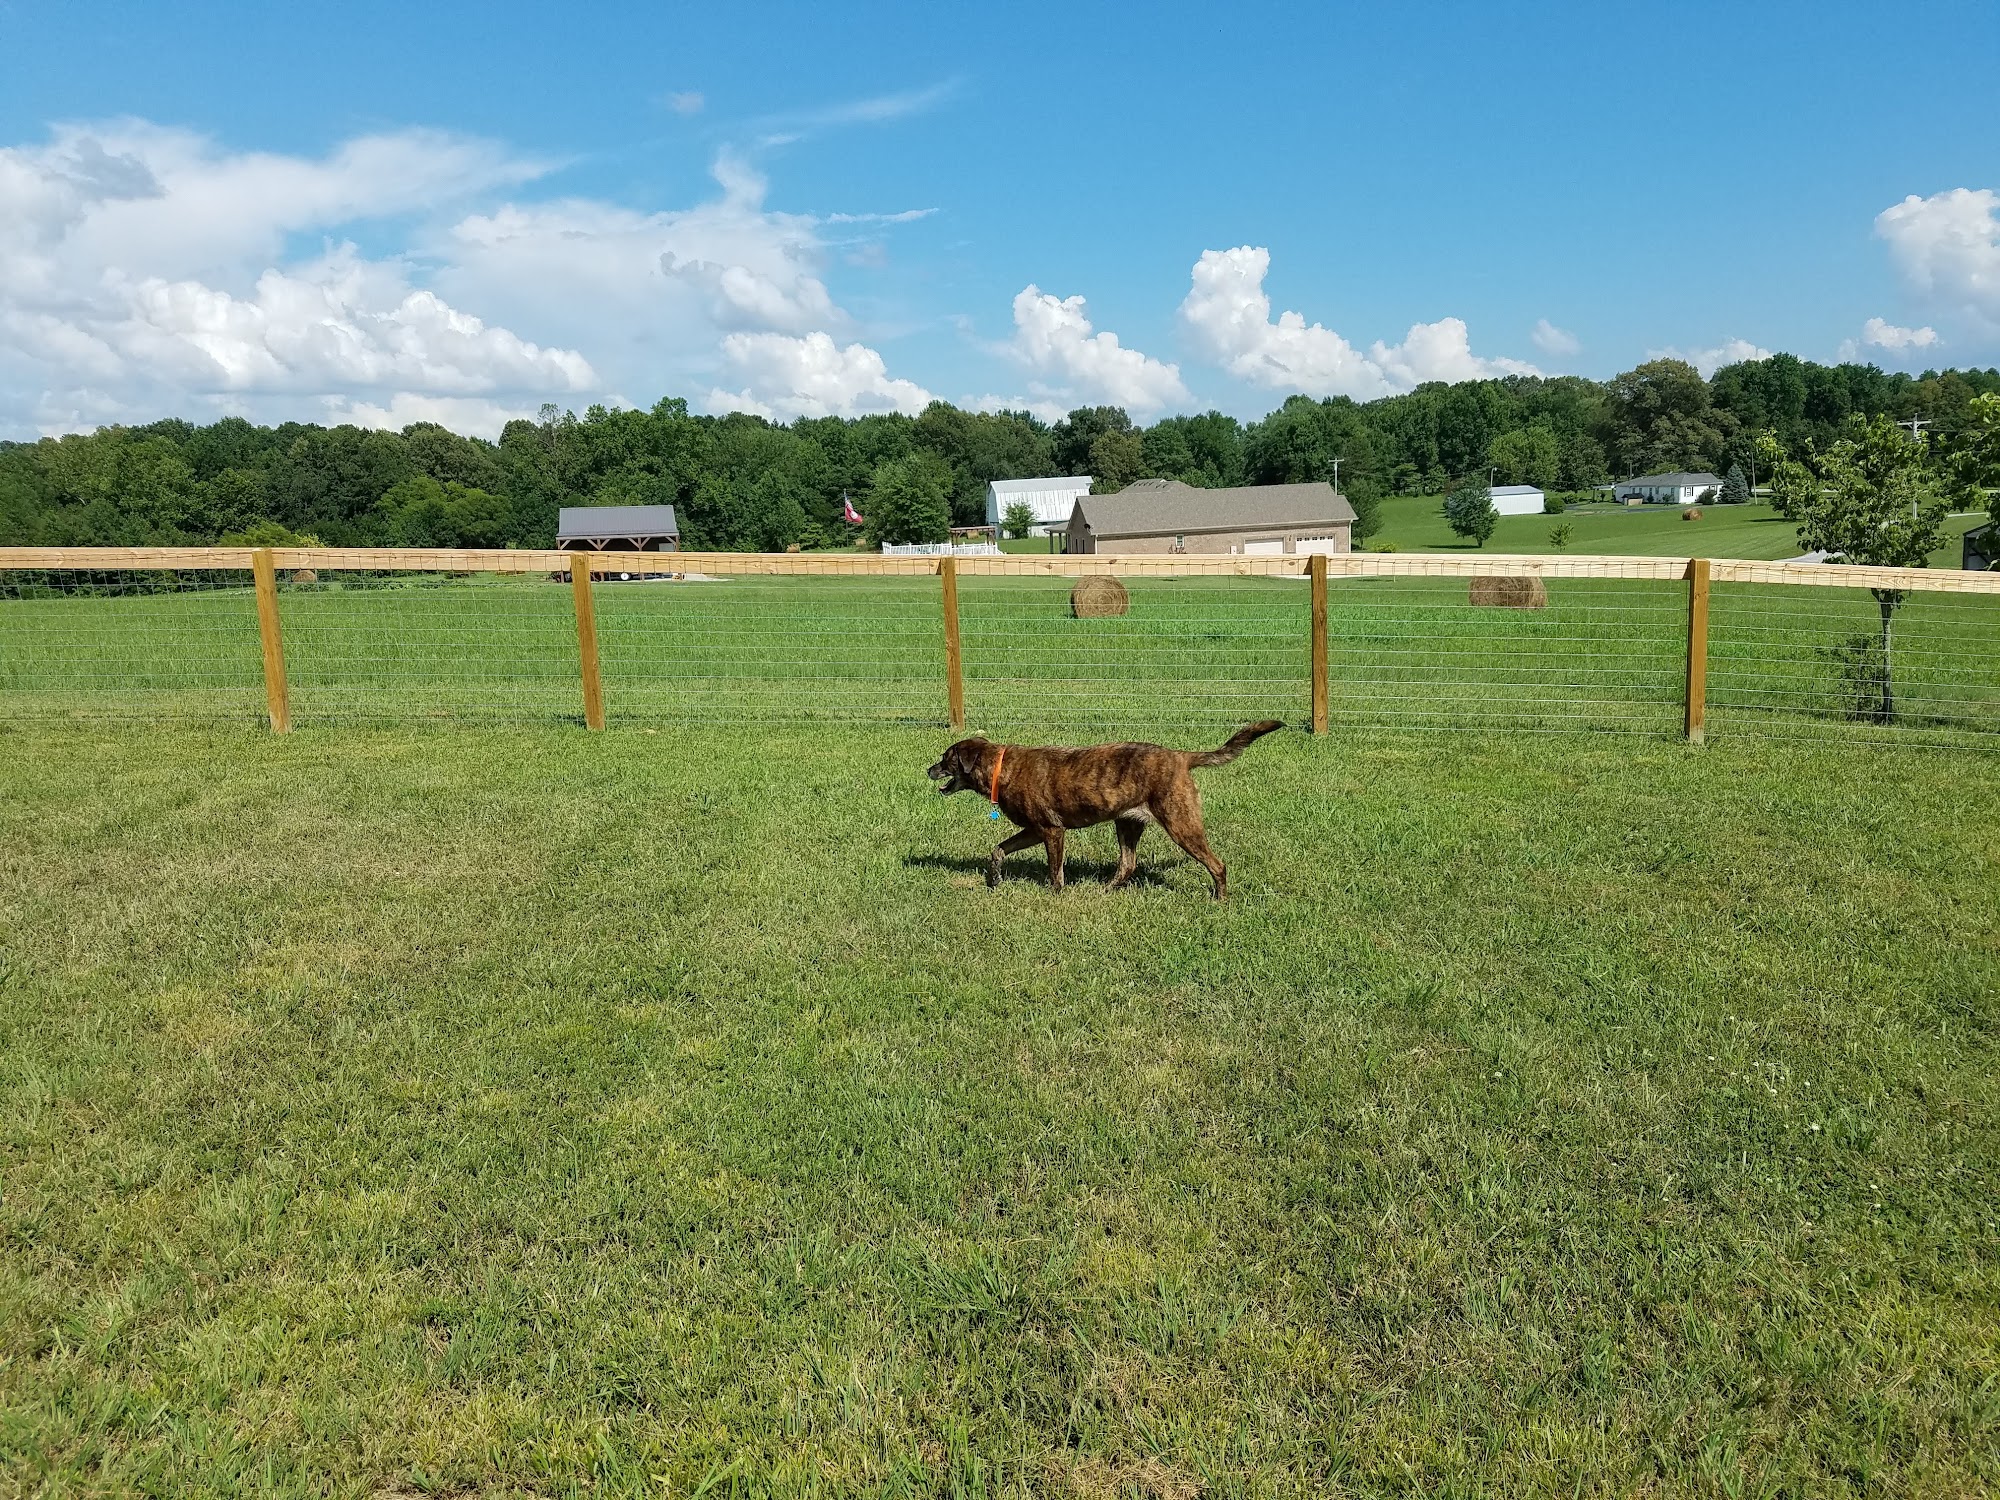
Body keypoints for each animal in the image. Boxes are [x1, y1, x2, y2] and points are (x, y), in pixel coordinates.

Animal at [924, 724, 1280, 900]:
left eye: (946, 758)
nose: (928, 770)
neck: (1001, 769)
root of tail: (1181, 757)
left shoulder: (1052, 831)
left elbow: (1055, 871)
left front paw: (1056, 896)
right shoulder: (1034, 830)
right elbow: (998, 849)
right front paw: (994, 878)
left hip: (1181, 825)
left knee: (1217, 865)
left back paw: (1220, 900)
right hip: (1127, 824)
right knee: (1128, 864)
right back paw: (1106, 890)